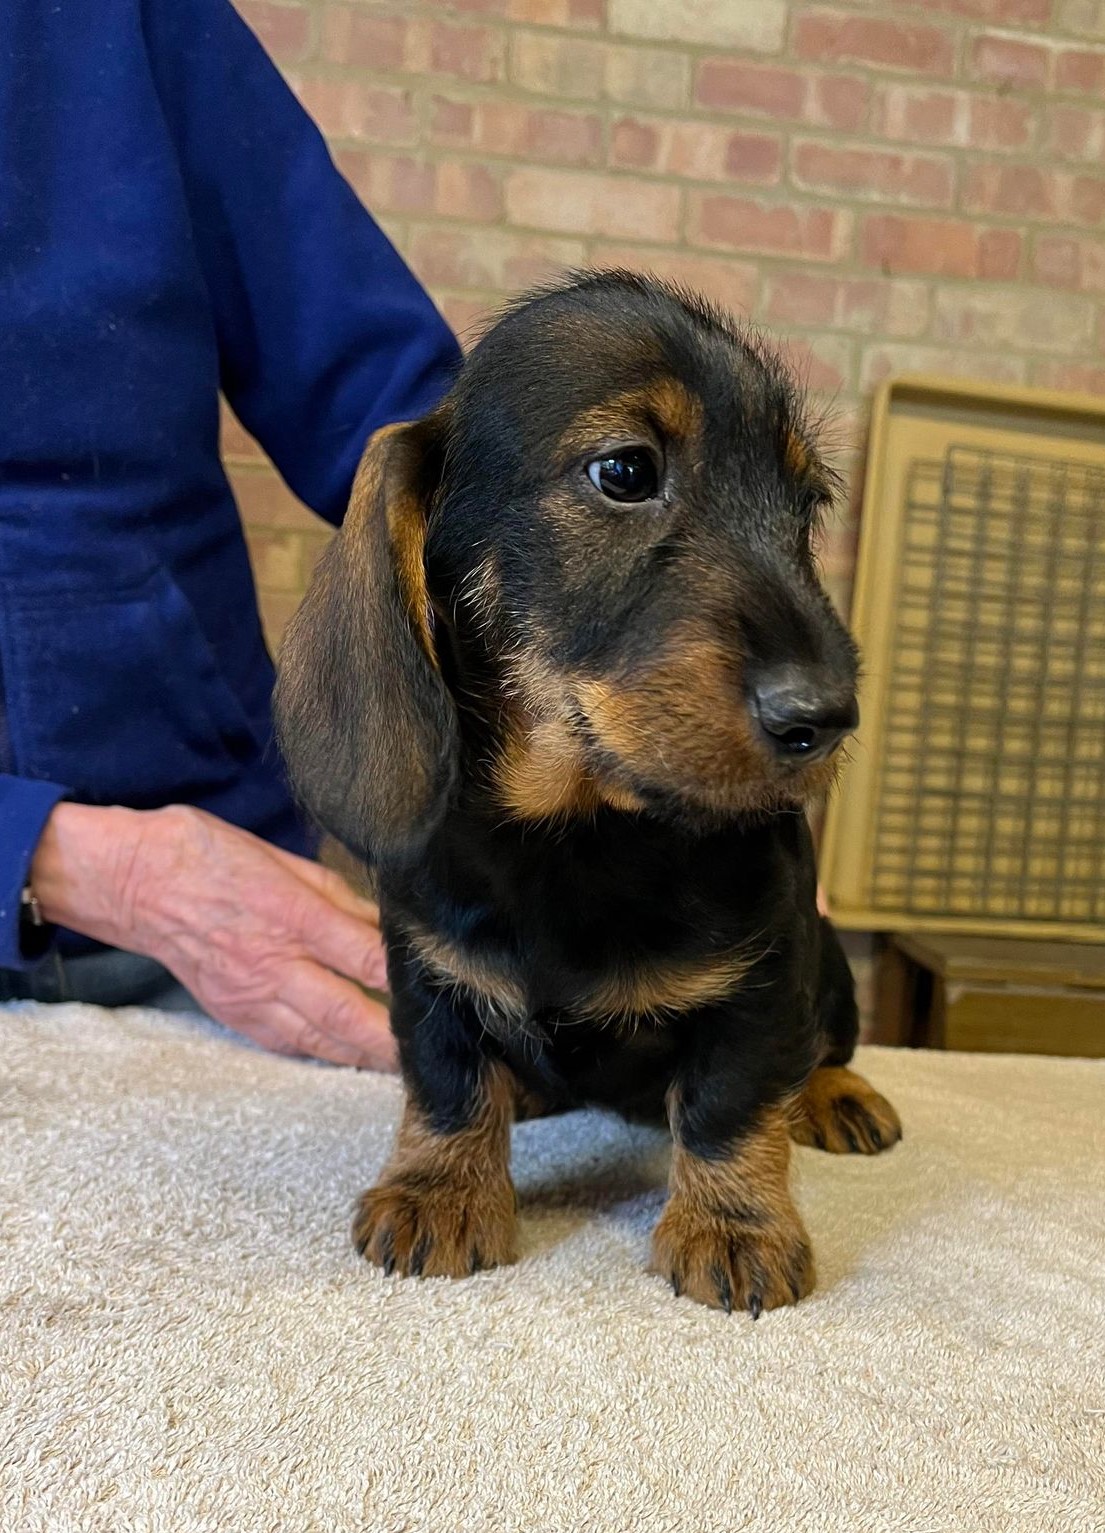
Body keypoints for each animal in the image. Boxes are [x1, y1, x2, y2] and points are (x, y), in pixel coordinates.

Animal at [274, 272, 895, 1318]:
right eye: (625, 472)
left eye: (805, 506)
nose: (825, 717)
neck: (576, 833)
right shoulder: (427, 971)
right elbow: (447, 1078)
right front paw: (440, 1187)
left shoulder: (765, 979)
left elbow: (732, 1101)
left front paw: (733, 1224)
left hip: (834, 982)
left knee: (824, 1050)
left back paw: (834, 1095)